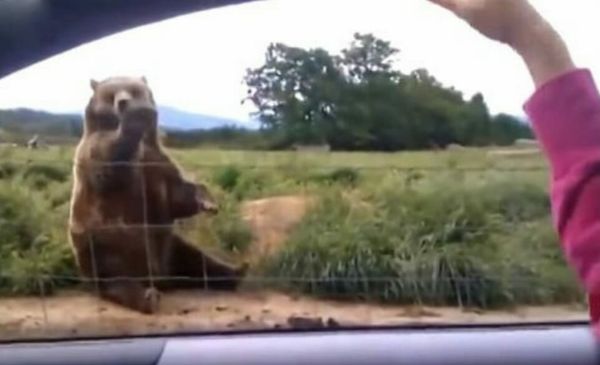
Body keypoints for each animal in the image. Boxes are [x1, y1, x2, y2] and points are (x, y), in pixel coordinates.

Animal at [68, 74, 248, 312]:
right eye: (110, 94)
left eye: (134, 90)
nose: (123, 103)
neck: (143, 141)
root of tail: (159, 277)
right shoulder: (95, 152)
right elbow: (108, 166)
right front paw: (133, 120)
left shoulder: (158, 161)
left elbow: (177, 196)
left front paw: (207, 202)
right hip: (103, 244)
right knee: (114, 276)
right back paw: (146, 297)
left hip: (170, 247)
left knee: (196, 260)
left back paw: (236, 271)